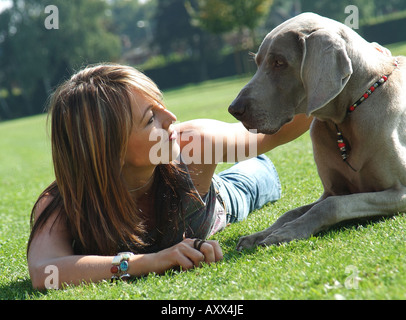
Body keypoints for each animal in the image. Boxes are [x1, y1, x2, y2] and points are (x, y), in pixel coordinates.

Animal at [228, 12, 406, 250]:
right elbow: (292, 211)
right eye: (257, 62)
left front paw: (286, 233)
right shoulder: (330, 190)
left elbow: (331, 205)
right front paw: (260, 235)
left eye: (279, 62)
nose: (234, 109)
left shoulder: (400, 191)